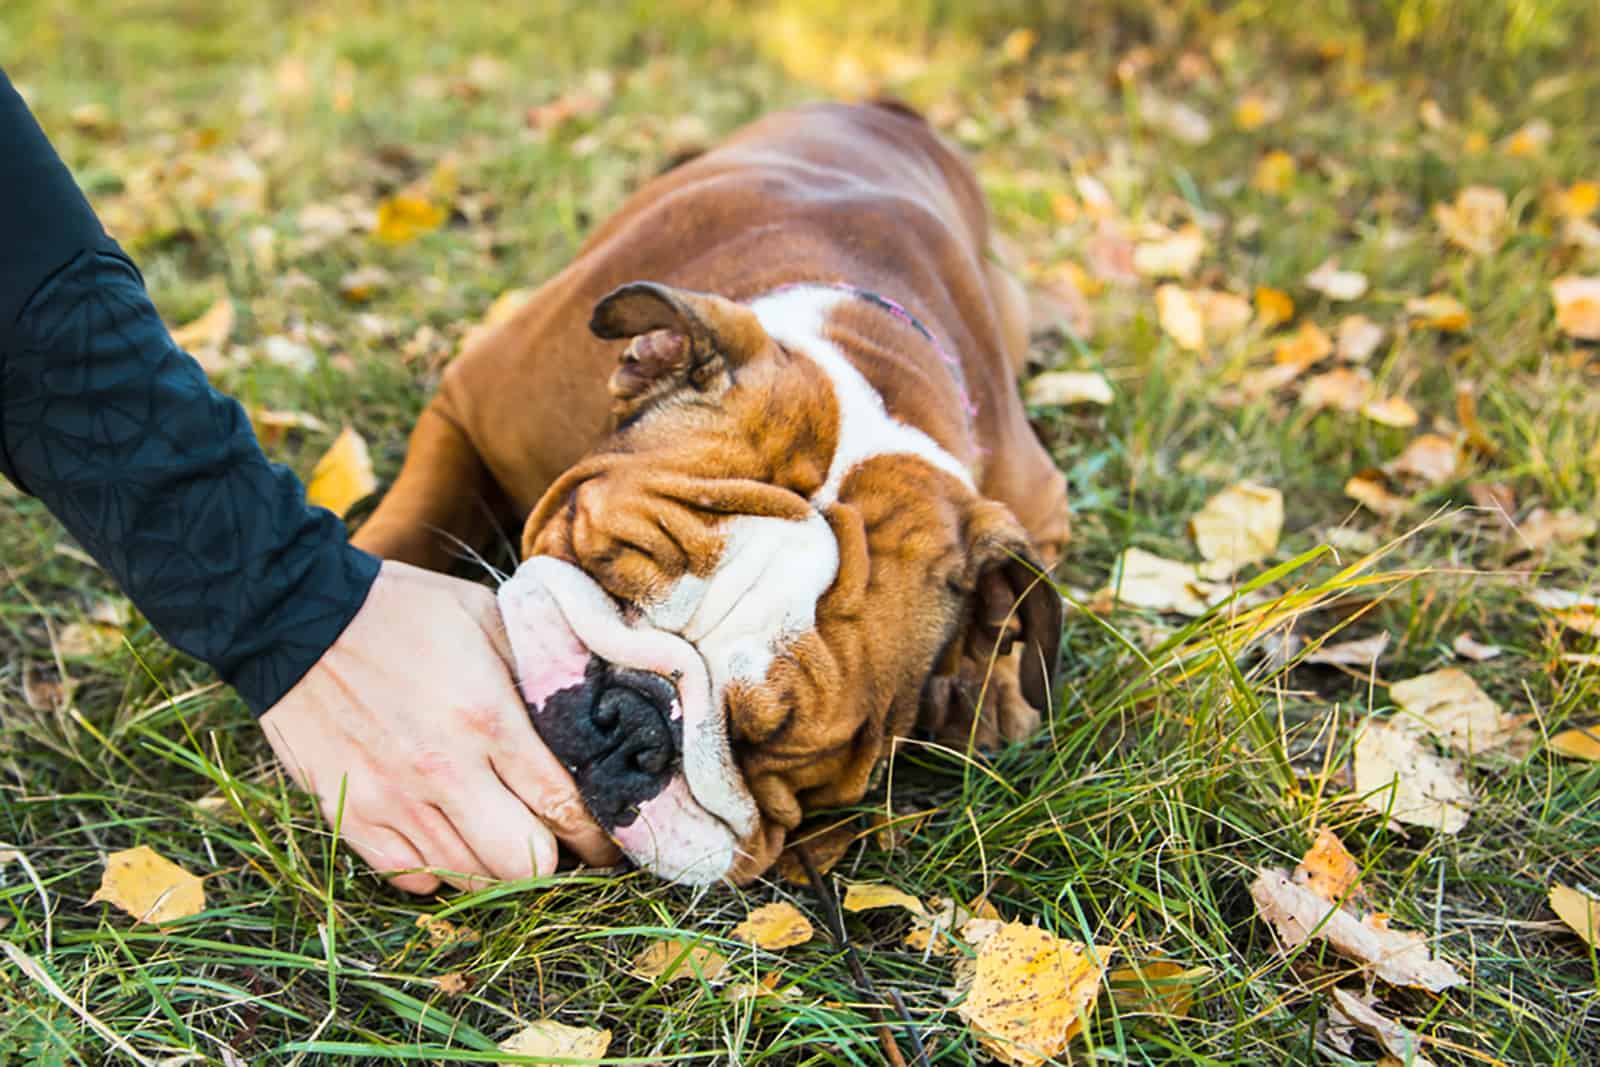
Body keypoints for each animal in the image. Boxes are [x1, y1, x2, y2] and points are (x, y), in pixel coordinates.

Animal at [356, 99, 1068, 883]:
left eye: (773, 743)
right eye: (607, 563)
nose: (630, 717)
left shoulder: (1037, 504)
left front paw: (992, 686)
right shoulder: (466, 402)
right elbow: (410, 519)